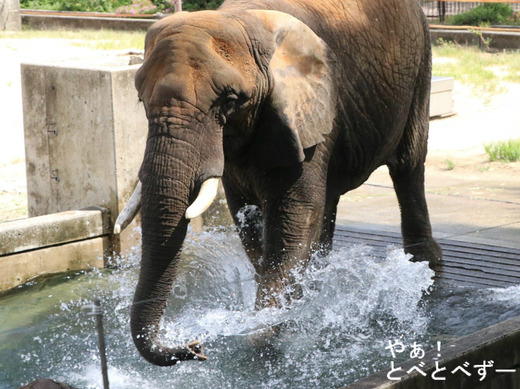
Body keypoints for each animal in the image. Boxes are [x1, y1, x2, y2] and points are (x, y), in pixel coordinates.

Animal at [117, 0, 442, 366]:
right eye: (141, 101)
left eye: (229, 101)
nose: (195, 346)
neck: (244, 20)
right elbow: (248, 218)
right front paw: (290, 313)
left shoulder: (305, 109)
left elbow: (292, 219)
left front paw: (265, 336)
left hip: (420, 63)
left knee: (408, 164)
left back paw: (425, 268)